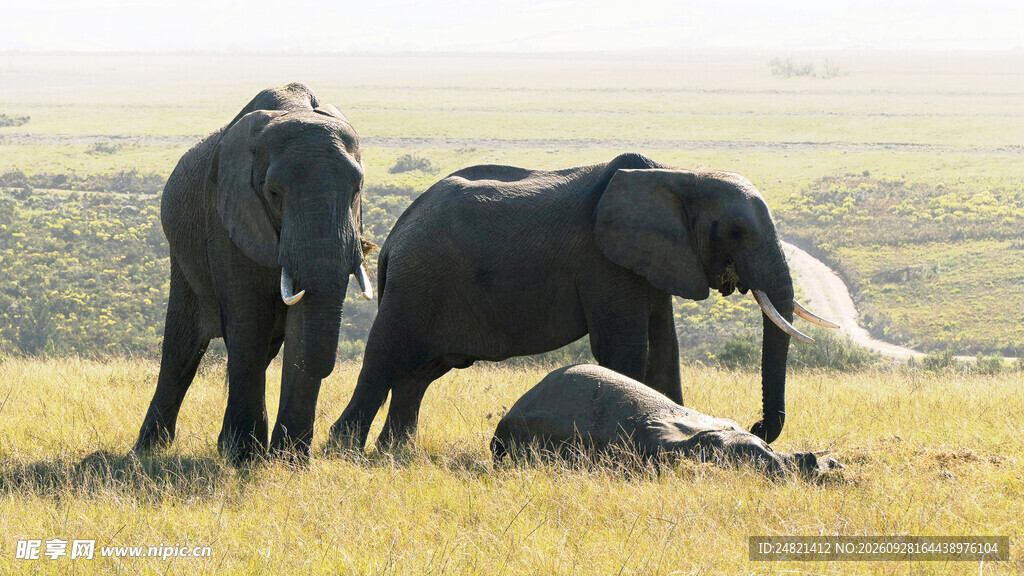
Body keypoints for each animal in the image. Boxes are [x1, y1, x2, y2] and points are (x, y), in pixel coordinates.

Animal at [134, 83, 373, 463]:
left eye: (357, 190)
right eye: (273, 193)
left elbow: (299, 326)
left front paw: (289, 462)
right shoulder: (227, 214)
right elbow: (248, 317)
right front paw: (244, 457)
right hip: (182, 252)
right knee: (181, 348)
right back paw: (149, 449)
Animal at [330, 153, 837, 451]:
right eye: (735, 232)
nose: (757, 426)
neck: (679, 175)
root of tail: (393, 238)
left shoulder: (653, 259)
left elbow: (665, 351)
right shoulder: (603, 261)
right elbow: (625, 349)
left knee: (418, 374)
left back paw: (395, 455)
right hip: (417, 283)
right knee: (385, 358)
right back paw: (345, 450)